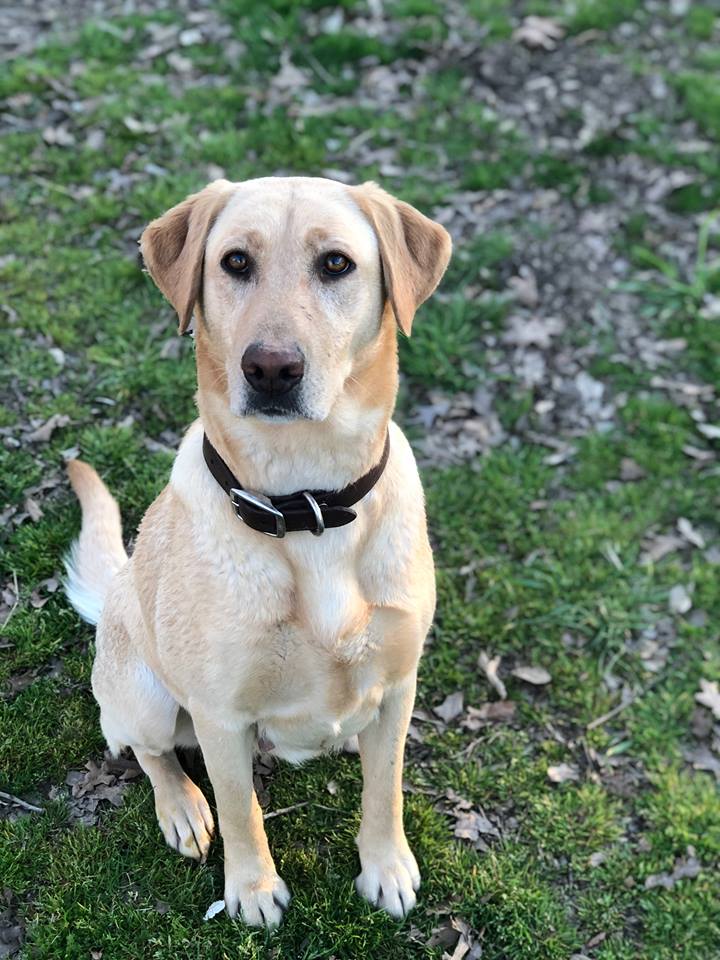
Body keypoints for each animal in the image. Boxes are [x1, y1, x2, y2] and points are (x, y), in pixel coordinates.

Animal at [66, 176, 450, 928]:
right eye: (236, 262)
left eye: (336, 264)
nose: (272, 368)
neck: (307, 503)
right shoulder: (220, 714)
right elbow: (241, 807)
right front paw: (251, 889)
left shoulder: (399, 685)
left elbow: (385, 787)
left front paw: (385, 867)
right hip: (144, 695)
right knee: (149, 752)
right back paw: (182, 808)